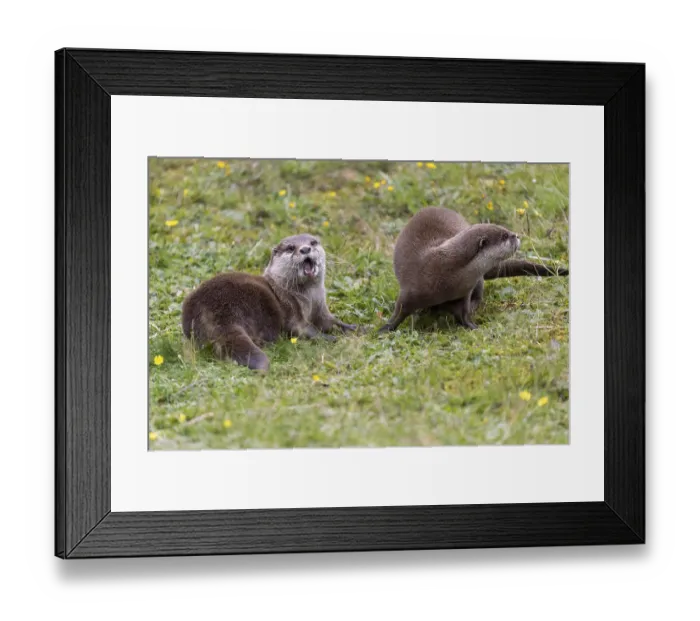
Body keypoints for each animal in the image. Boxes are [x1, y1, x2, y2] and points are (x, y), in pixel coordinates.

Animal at [182, 233, 357, 371]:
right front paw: (331, 338)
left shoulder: (321, 310)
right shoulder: (292, 311)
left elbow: (333, 322)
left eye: (313, 242)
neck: (309, 301)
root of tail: (209, 310)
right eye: (291, 248)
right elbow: (302, 330)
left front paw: (356, 328)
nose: (305, 249)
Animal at [378, 206, 568, 332]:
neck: (446, 275)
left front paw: (473, 326)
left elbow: (464, 312)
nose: (517, 236)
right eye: (505, 236)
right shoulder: (411, 290)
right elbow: (399, 311)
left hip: (478, 282)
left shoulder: (465, 291)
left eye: (506, 230)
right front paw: (385, 329)